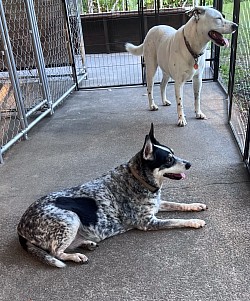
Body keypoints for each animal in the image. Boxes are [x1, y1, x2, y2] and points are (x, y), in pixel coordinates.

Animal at [17, 124, 208, 268]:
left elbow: (178, 204)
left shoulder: (158, 205)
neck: (137, 179)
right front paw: (195, 221)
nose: (189, 164)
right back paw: (76, 256)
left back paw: (87, 243)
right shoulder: (148, 222)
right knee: (55, 252)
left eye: (173, 153)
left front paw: (196, 205)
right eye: (168, 160)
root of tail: (20, 226)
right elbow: (177, 220)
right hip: (71, 218)